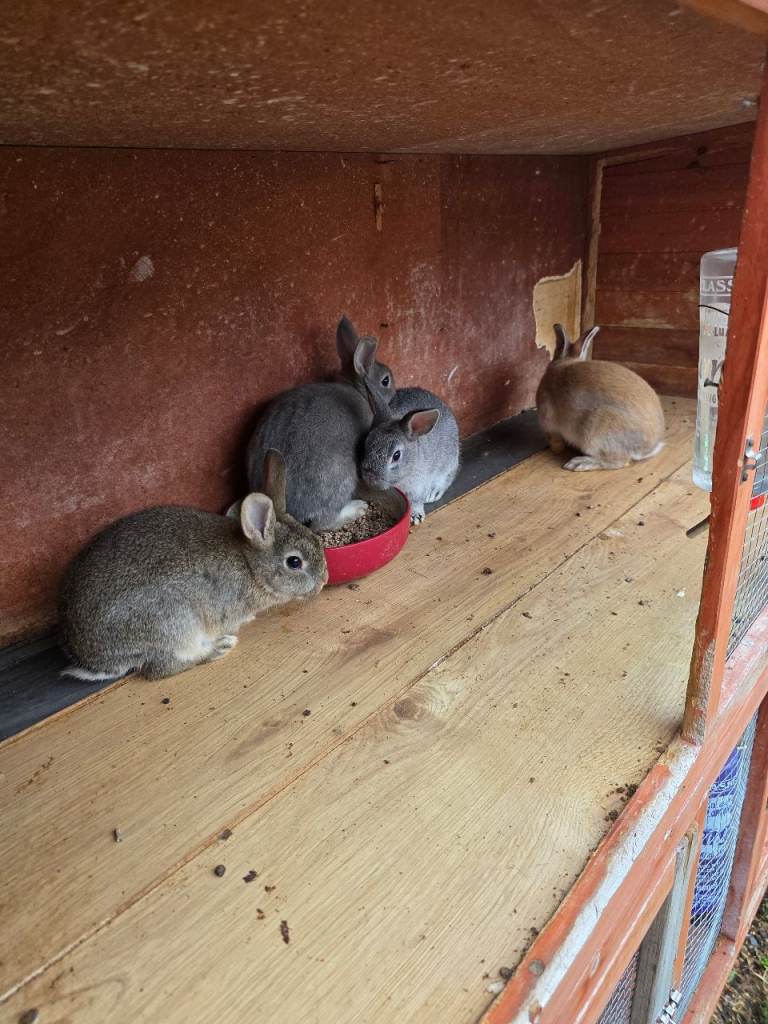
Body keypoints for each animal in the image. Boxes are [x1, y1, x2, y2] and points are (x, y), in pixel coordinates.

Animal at [59, 451, 328, 682]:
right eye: (294, 562)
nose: (324, 579)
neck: (250, 565)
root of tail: (94, 659)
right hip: (174, 627)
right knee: (161, 669)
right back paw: (219, 648)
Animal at [246, 315, 396, 531]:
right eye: (386, 380)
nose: (395, 390)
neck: (358, 389)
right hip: (341, 476)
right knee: (322, 524)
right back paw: (357, 508)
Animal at [358, 362, 460, 524]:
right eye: (366, 444)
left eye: (396, 456)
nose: (370, 479)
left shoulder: (418, 486)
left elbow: (416, 501)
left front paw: (415, 516)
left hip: (449, 462)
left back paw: (433, 494)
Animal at [536, 324, 665, 472]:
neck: (563, 364)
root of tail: (645, 449)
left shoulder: (549, 424)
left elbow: (555, 439)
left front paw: (556, 450)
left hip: (595, 430)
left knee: (619, 461)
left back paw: (580, 463)